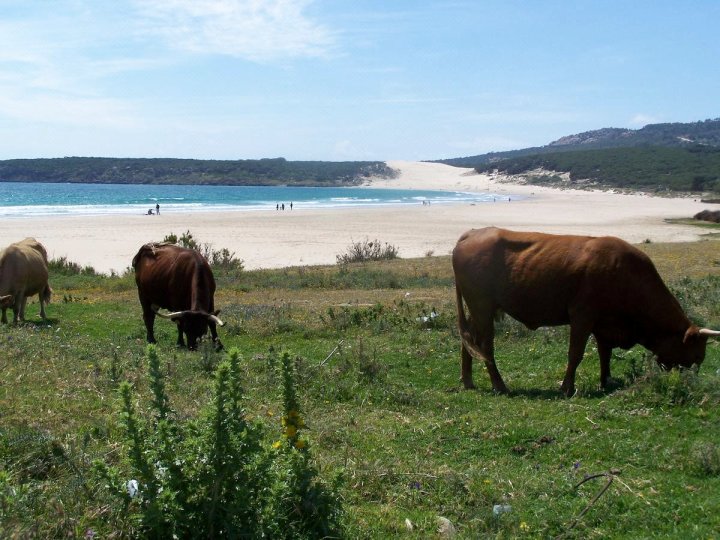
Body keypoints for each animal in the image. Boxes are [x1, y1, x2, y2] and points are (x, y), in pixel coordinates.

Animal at [452, 226, 716, 394]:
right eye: (696, 357)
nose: (690, 384)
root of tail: (472, 233)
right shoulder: (582, 316)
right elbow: (575, 354)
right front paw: (567, 388)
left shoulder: (604, 324)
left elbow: (605, 354)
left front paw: (606, 381)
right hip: (482, 307)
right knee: (485, 346)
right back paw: (499, 386)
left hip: (476, 310)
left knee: (469, 342)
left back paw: (468, 381)